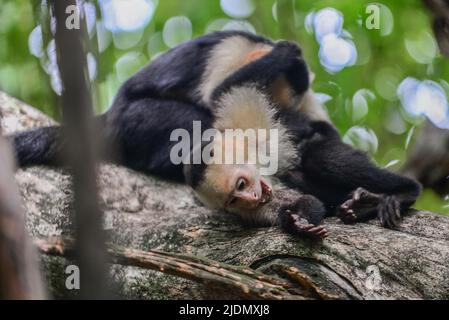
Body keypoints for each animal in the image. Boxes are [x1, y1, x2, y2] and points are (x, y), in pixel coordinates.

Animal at [9, 31, 420, 239]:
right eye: (237, 194)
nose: (282, 112)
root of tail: (107, 118)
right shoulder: (238, 57)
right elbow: (222, 94)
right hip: (137, 122)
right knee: (194, 124)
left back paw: (393, 194)